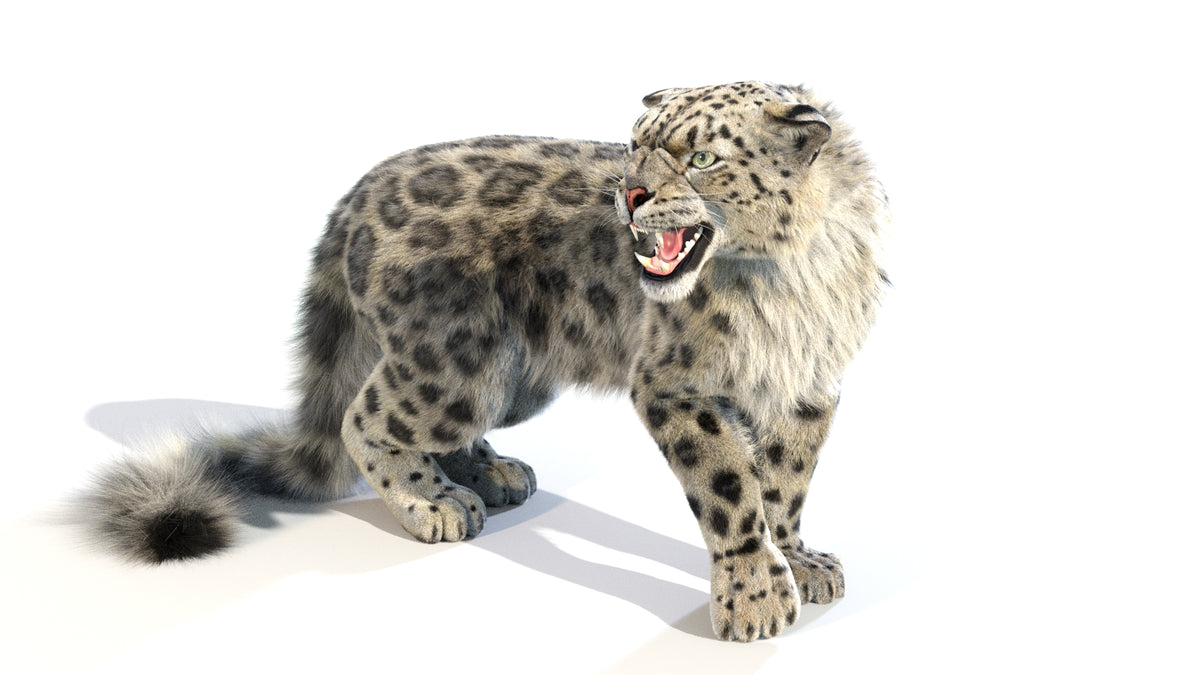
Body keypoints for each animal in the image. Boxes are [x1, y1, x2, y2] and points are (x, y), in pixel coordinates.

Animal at [83, 81, 889, 642]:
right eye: (634, 144)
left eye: (702, 157)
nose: (629, 194)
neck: (784, 282)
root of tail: (354, 197)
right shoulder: (675, 384)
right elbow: (729, 488)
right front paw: (754, 596)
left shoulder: (807, 388)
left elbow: (785, 483)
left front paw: (801, 562)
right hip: (456, 366)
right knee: (365, 416)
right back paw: (436, 503)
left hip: (514, 375)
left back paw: (491, 475)